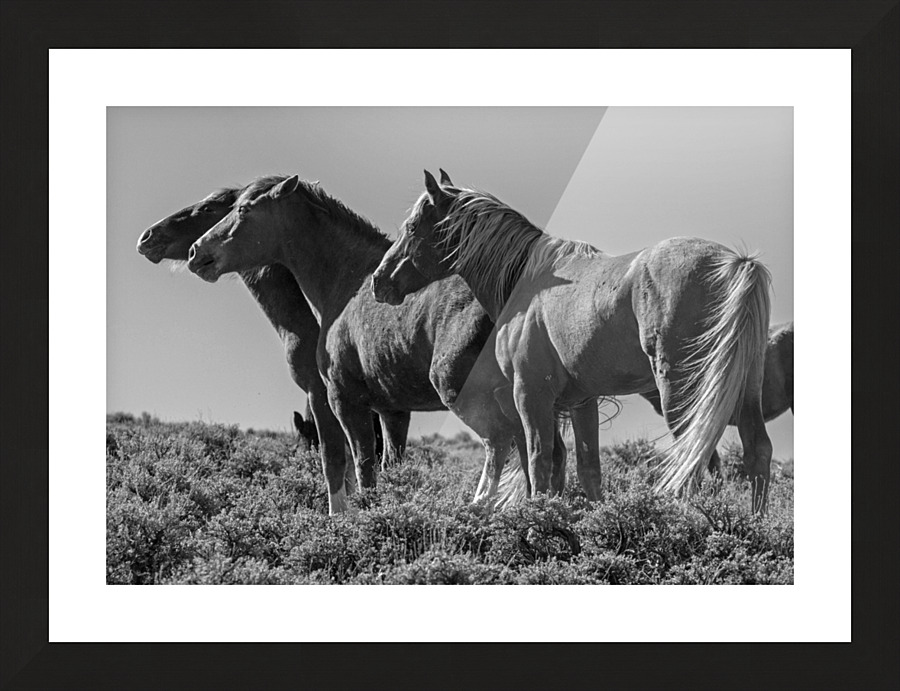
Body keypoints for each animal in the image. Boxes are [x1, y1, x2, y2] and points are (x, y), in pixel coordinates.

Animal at [184, 174, 569, 509]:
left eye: (244, 210)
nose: (195, 252)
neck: (349, 282)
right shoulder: (392, 410)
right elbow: (390, 466)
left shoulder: (343, 401)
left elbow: (352, 465)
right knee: (543, 452)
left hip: (467, 392)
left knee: (502, 442)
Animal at [372, 170, 774, 513]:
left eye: (412, 227)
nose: (379, 281)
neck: (527, 283)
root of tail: (736, 263)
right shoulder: (583, 401)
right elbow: (588, 469)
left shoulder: (530, 394)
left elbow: (539, 463)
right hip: (743, 389)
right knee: (756, 451)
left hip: (681, 391)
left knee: (696, 456)